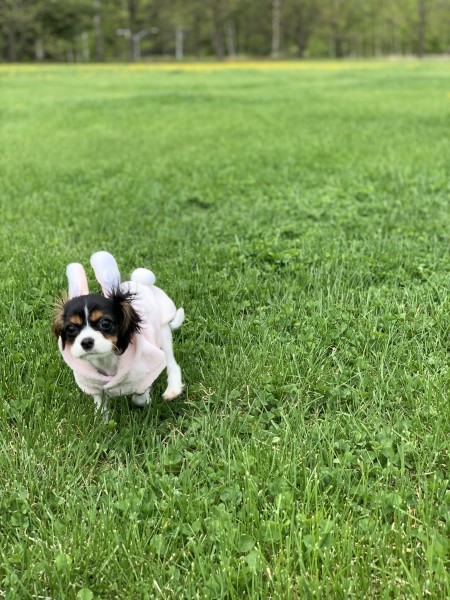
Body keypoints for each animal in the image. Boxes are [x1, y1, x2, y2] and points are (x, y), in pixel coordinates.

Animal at [53, 251, 185, 420]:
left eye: (105, 323)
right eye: (71, 329)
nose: (86, 342)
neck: (106, 359)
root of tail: (142, 283)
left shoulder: (146, 370)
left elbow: (139, 397)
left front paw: (145, 400)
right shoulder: (94, 384)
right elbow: (100, 405)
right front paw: (101, 421)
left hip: (163, 334)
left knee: (172, 363)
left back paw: (172, 390)